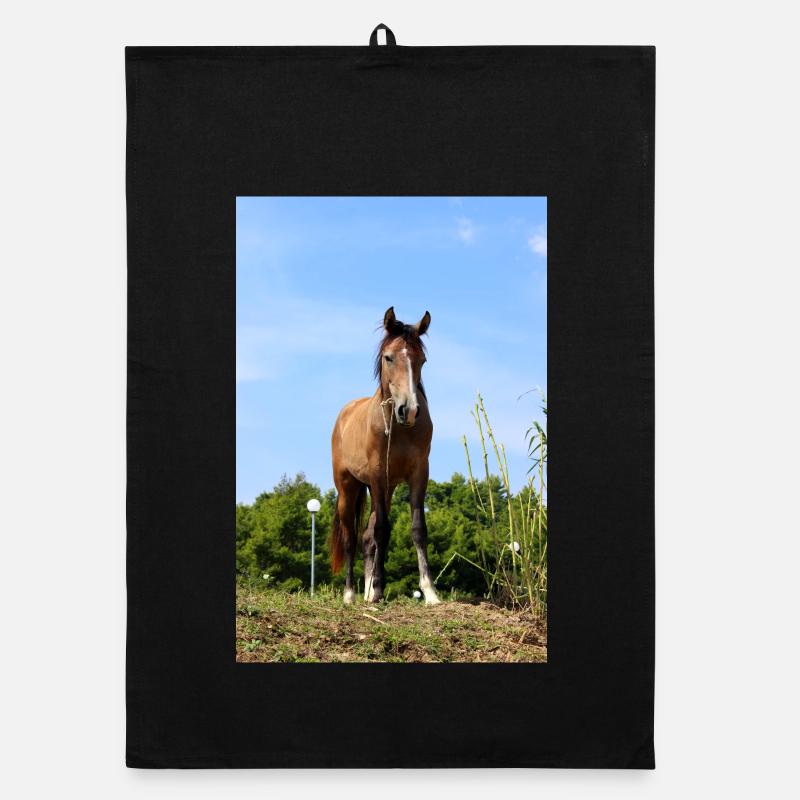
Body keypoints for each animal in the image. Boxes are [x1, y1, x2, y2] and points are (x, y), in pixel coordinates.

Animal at [330, 307, 440, 605]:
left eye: (422, 360)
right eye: (389, 357)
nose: (409, 410)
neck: (399, 429)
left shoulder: (418, 474)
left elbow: (417, 529)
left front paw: (429, 591)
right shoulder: (378, 476)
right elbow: (382, 530)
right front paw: (378, 589)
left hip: (386, 489)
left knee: (367, 538)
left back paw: (367, 590)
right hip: (348, 488)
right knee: (351, 538)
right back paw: (350, 594)